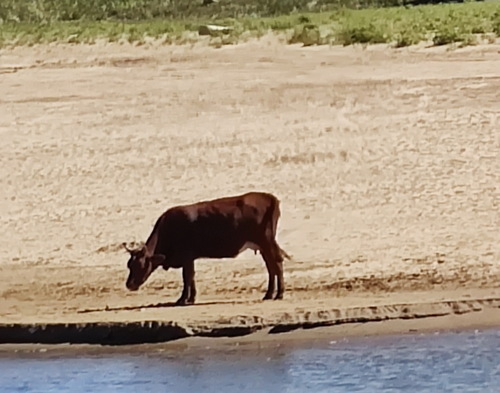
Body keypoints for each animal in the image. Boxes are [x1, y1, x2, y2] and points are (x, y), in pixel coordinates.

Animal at [122, 191, 292, 304]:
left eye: (140, 265)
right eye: (129, 265)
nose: (129, 285)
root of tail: (270, 198)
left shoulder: (186, 257)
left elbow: (187, 277)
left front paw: (184, 299)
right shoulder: (189, 259)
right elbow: (190, 277)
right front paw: (190, 298)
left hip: (266, 241)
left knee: (277, 263)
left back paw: (279, 294)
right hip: (263, 245)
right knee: (271, 266)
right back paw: (269, 294)